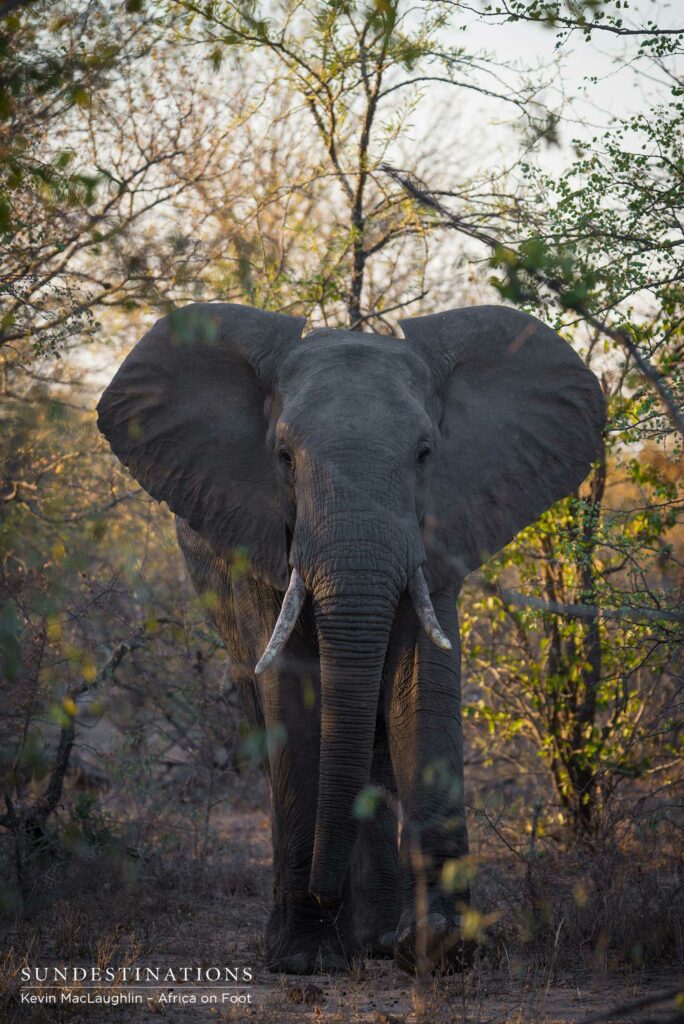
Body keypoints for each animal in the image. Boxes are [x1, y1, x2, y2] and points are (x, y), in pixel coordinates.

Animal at [96, 302, 605, 975]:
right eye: (283, 456)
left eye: (425, 454)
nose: (322, 890)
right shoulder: (261, 539)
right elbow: (297, 699)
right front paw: (306, 958)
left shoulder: (439, 527)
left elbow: (420, 686)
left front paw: (440, 948)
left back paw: (377, 938)